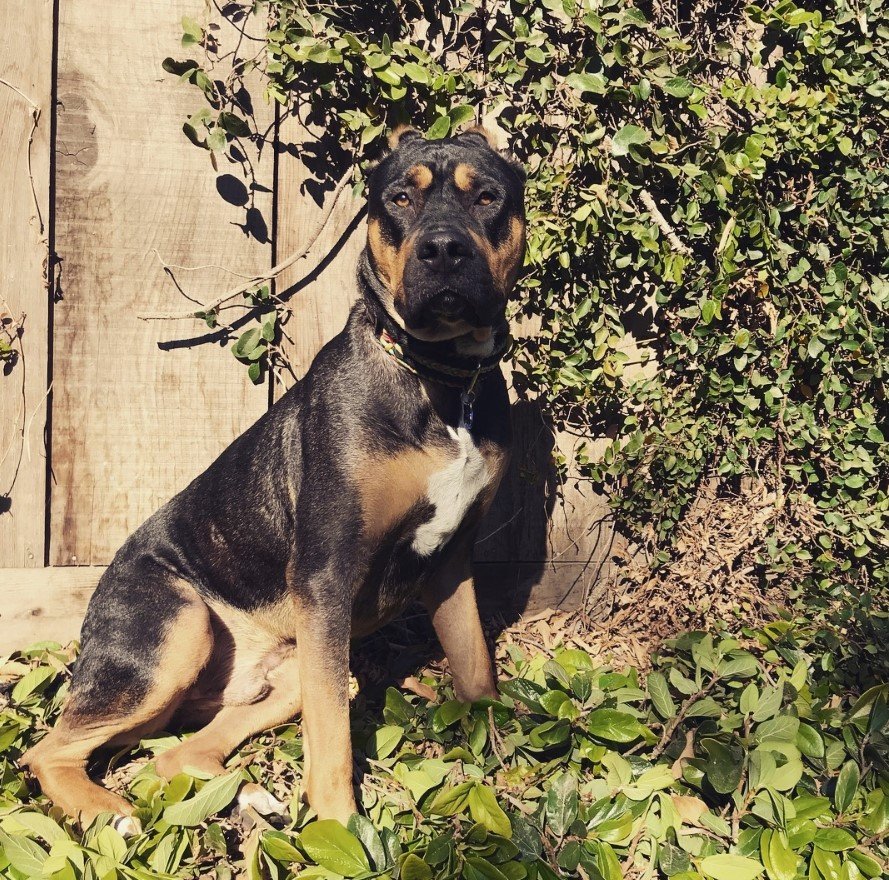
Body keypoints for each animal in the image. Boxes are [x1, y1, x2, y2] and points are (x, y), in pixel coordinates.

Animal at [22, 125, 528, 832]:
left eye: (487, 197)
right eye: (400, 197)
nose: (443, 249)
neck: (445, 383)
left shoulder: (452, 561)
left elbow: (476, 667)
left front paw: (505, 766)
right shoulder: (327, 570)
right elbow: (335, 739)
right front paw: (344, 829)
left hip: (289, 672)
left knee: (177, 755)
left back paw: (248, 797)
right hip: (176, 632)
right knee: (48, 751)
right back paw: (110, 810)